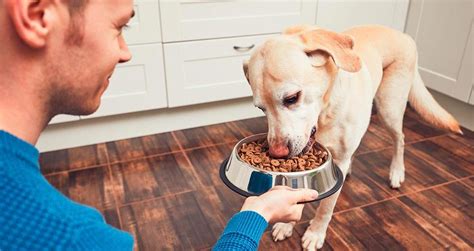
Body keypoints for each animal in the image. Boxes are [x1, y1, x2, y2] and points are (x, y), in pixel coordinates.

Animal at [243, 24, 462, 250]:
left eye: (291, 98)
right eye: (261, 109)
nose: (276, 153)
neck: (326, 112)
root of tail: (403, 34)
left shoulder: (338, 160)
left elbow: (326, 207)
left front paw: (315, 233)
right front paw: (287, 225)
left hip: (389, 108)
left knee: (400, 139)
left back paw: (396, 172)